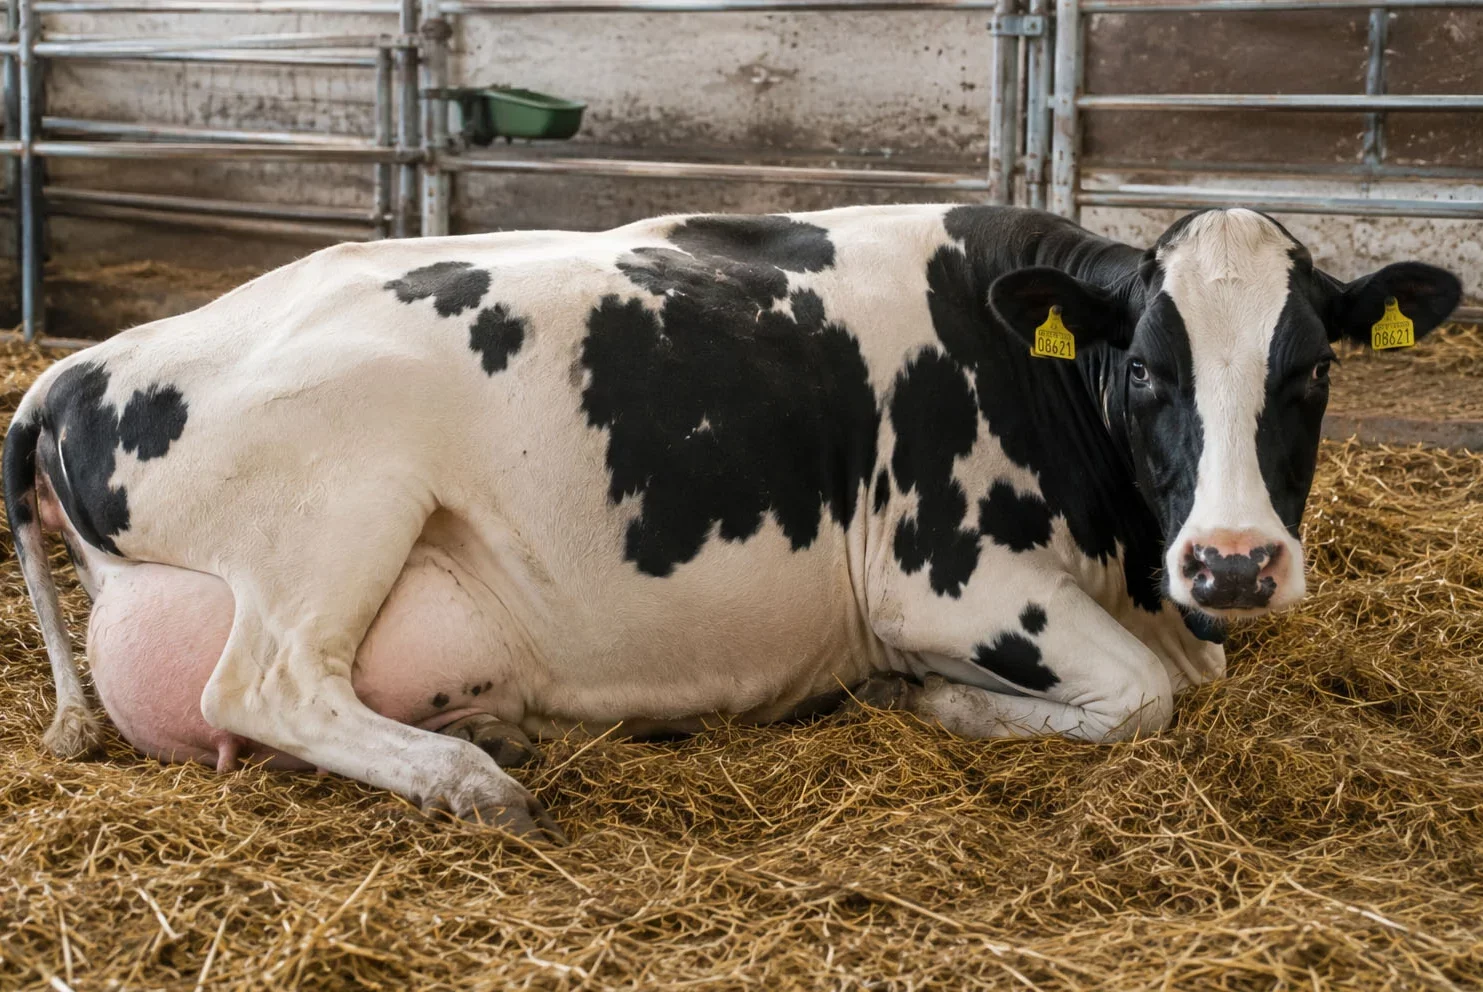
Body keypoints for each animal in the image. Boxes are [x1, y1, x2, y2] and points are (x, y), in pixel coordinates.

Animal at [3, 205, 1460, 840]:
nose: (1234, 561)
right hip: (346, 491)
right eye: (1148, 370)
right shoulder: (940, 575)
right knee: (262, 682)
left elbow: (1184, 675)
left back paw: (488, 730)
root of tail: (81, 365)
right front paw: (938, 702)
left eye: (1308, 372)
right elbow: (1142, 700)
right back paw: (472, 779)